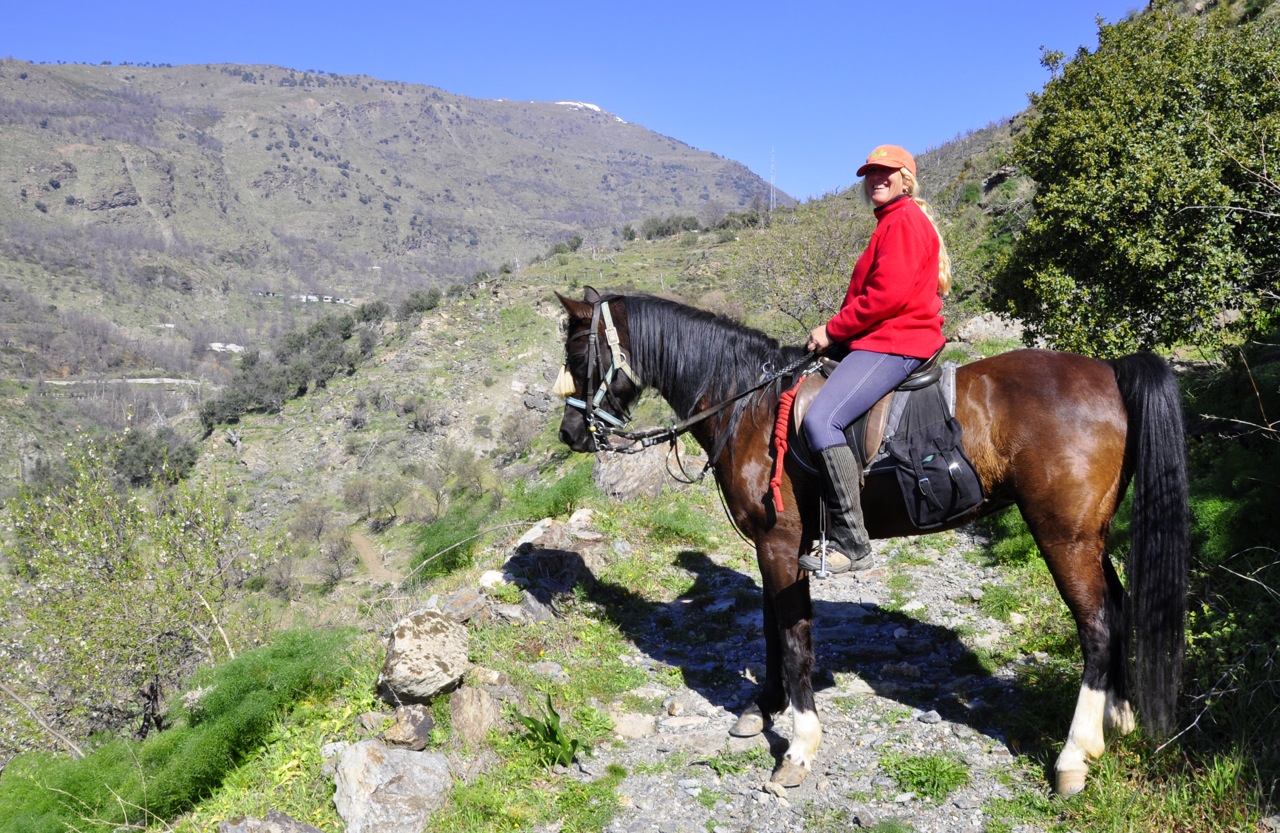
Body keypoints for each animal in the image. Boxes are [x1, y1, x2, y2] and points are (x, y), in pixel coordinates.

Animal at [553, 287, 1189, 796]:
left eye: (580, 355)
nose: (570, 433)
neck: (750, 404)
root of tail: (1108, 371)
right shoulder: (771, 547)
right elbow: (771, 628)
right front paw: (763, 707)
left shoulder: (781, 545)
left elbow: (794, 638)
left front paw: (799, 746)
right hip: (1091, 535)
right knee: (1118, 607)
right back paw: (1119, 720)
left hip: (1063, 536)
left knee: (1097, 625)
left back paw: (1075, 755)